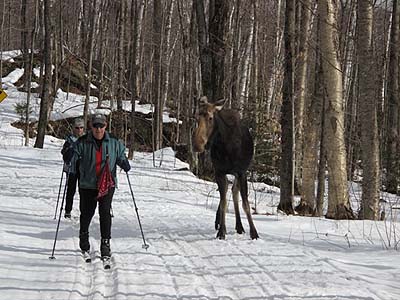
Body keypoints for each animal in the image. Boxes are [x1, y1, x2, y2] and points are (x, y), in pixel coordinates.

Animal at [193, 96, 260, 239]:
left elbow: (245, 204)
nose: (197, 144)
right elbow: (223, 201)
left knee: (234, 192)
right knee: (228, 192)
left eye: (210, 118)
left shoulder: (241, 172)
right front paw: (221, 231)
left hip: (237, 173)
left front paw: (254, 233)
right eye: (196, 117)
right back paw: (226, 223)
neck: (226, 146)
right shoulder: (219, 172)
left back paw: (239, 226)